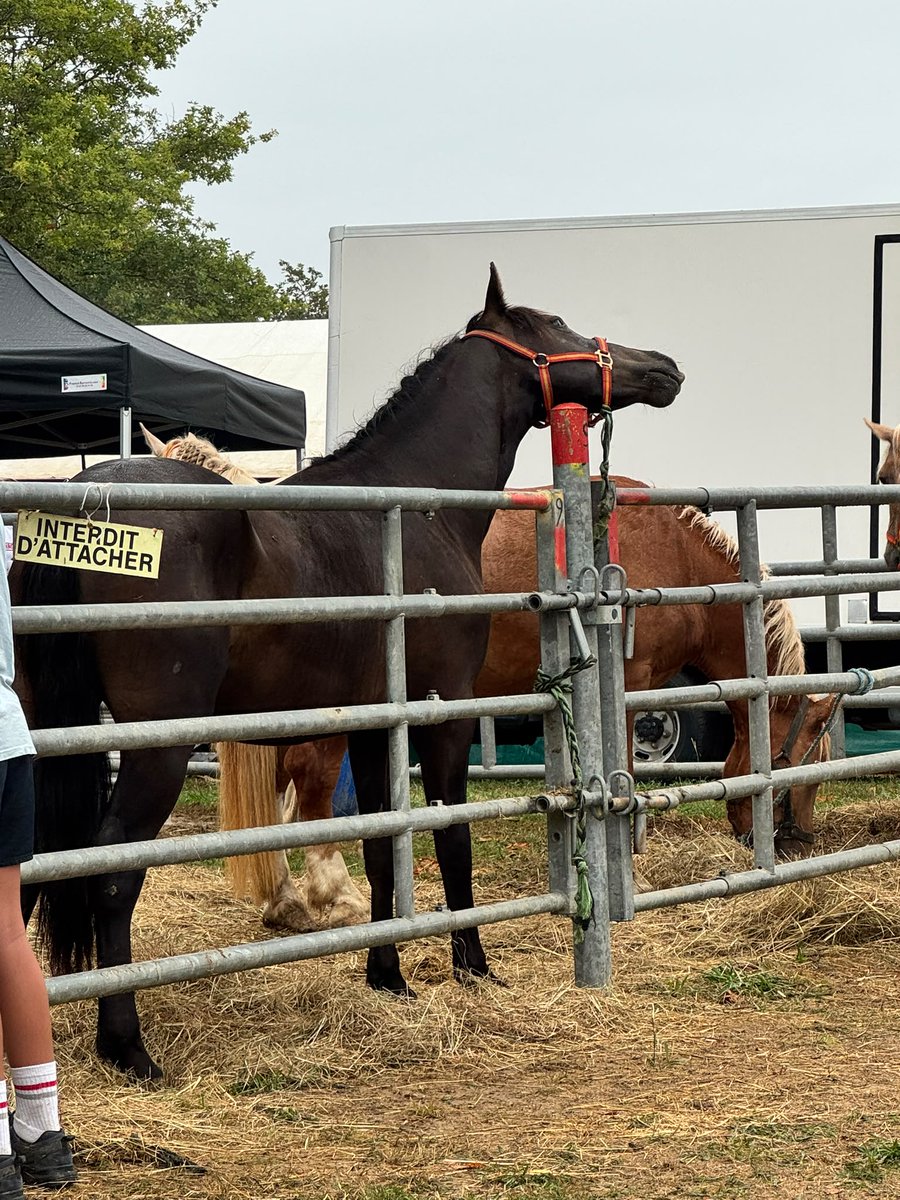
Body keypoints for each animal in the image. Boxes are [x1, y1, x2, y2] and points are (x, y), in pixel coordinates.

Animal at [12, 265, 683, 1079]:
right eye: (555, 325)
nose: (663, 369)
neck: (417, 511)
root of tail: (83, 504)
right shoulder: (441, 712)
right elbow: (449, 838)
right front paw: (473, 966)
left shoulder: (370, 724)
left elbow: (380, 848)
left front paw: (387, 975)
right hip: (155, 747)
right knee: (113, 872)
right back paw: (127, 1046)